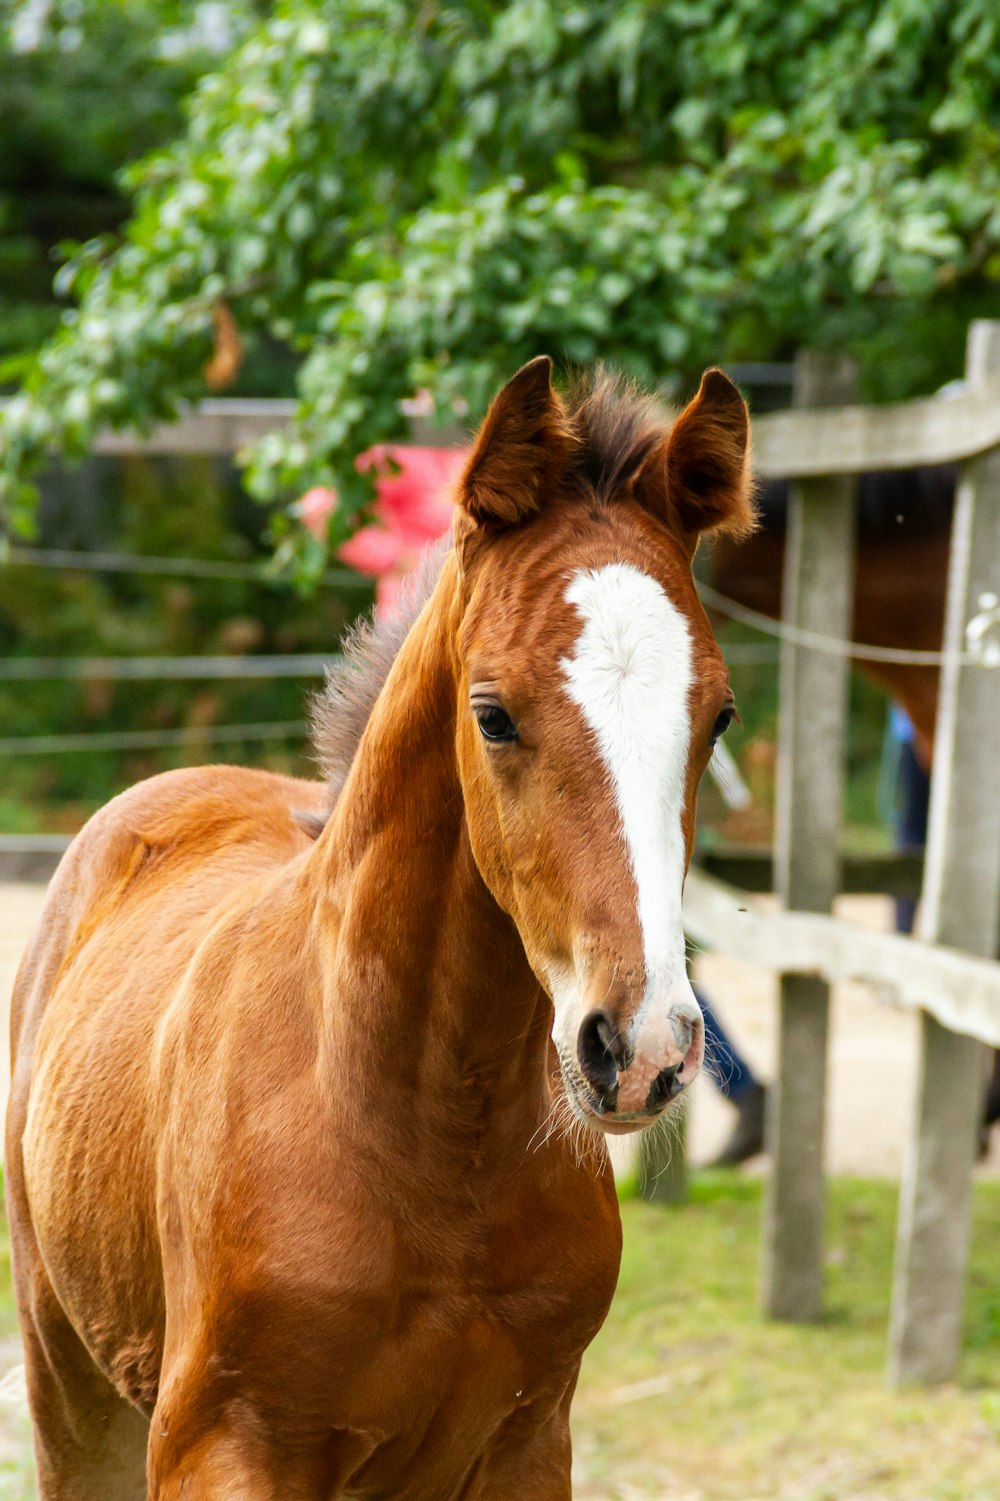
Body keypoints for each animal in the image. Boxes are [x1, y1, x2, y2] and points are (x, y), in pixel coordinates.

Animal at [7, 354, 750, 1501]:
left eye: (717, 715)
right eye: (492, 714)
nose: (641, 1050)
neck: (428, 1140)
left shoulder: (529, 1441)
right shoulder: (217, 1443)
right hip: (69, 1387)